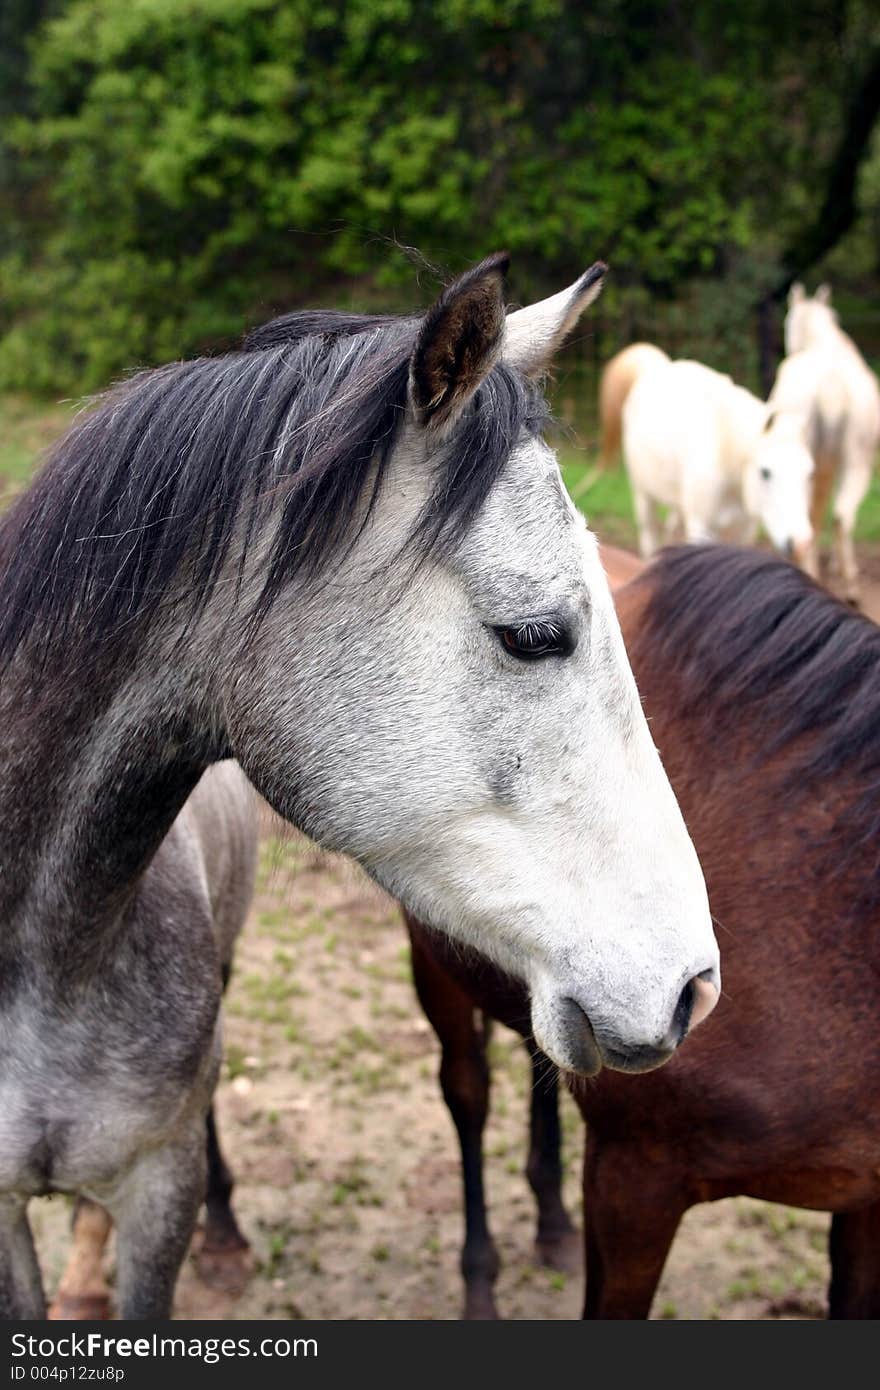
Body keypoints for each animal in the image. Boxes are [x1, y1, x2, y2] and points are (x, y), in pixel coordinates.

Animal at [620, 358, 811, 564]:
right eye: (765, 472)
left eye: (809, 473)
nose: (801, 544)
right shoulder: (700, 525)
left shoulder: (744, 530)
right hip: (643, 493)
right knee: (650, 535)